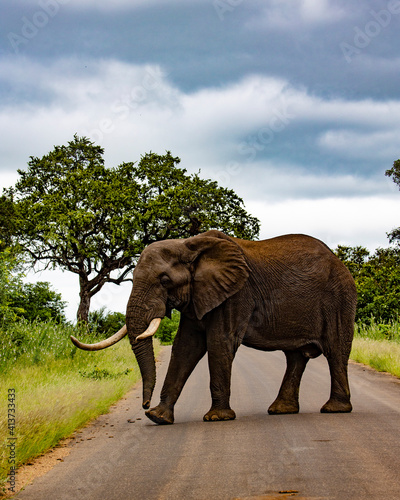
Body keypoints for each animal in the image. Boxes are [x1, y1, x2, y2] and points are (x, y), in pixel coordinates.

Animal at [72, 229, 356, 424]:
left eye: (164, 280)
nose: (143, 405)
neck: (189, 245)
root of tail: (341, 263)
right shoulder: (199, 295)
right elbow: (185, 347)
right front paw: (158, 417)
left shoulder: (236, 294)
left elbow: (220, 342)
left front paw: (217, 418)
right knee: (296, 357)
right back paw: (280, 410)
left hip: (339, 299)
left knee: (335, 351)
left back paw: (334, 409)